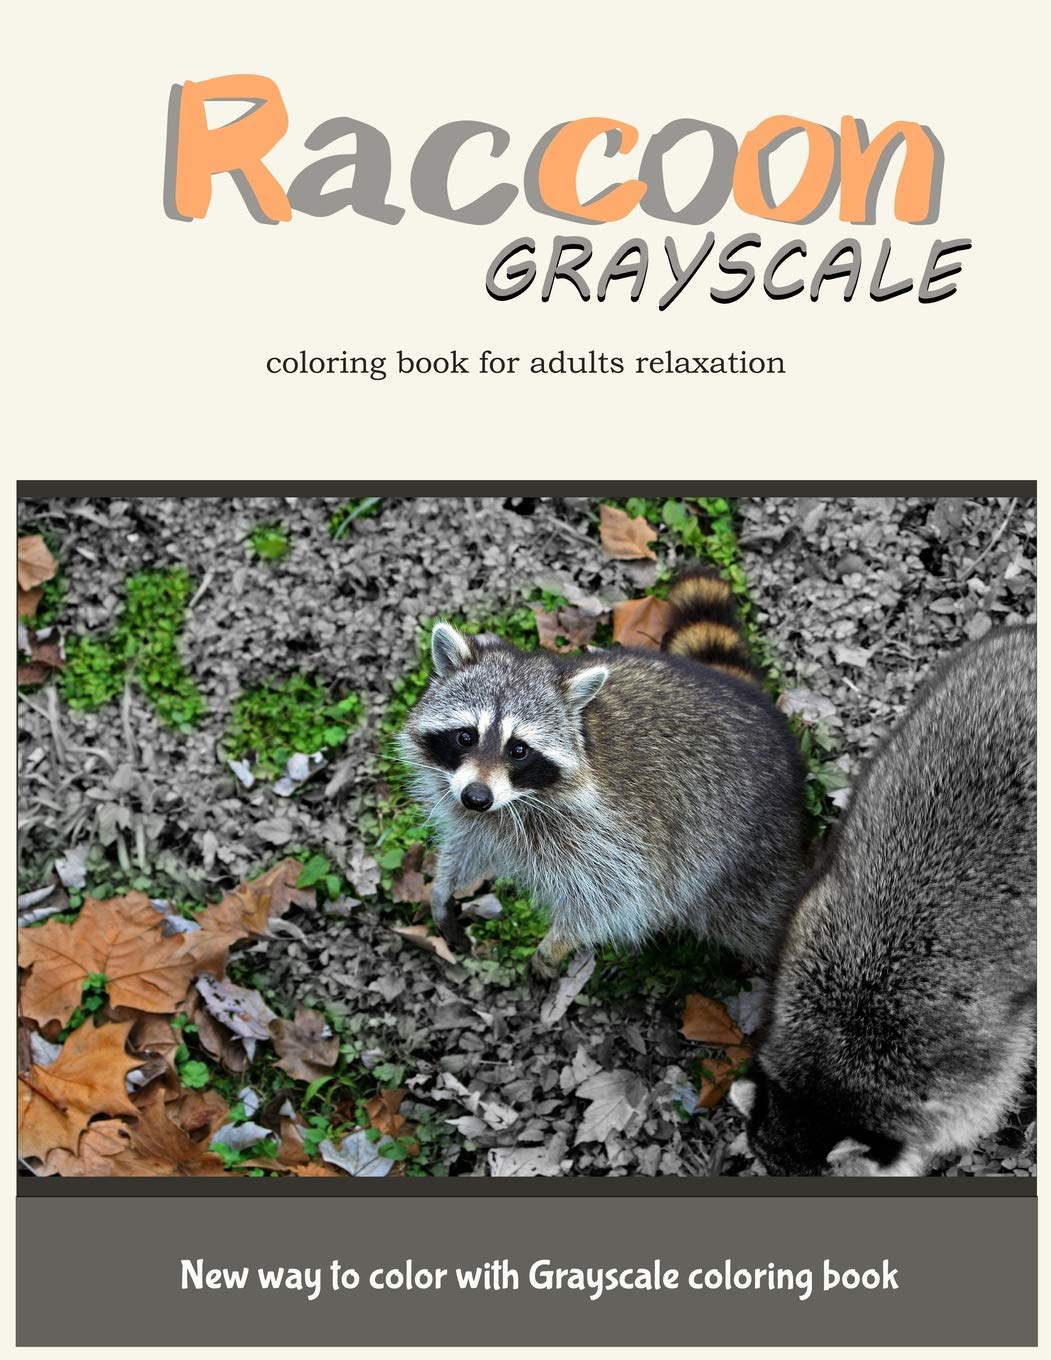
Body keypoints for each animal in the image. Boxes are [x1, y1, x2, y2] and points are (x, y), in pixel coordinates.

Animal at [396, 569, 808, 972]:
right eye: (466, 736)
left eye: (519, 750)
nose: (477, 797)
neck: (520, 800)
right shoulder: (476, 809)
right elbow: (466, 842)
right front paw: (443, 885)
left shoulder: (614, 834)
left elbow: (619, 898)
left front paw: (557, 943)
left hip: (749, 860)